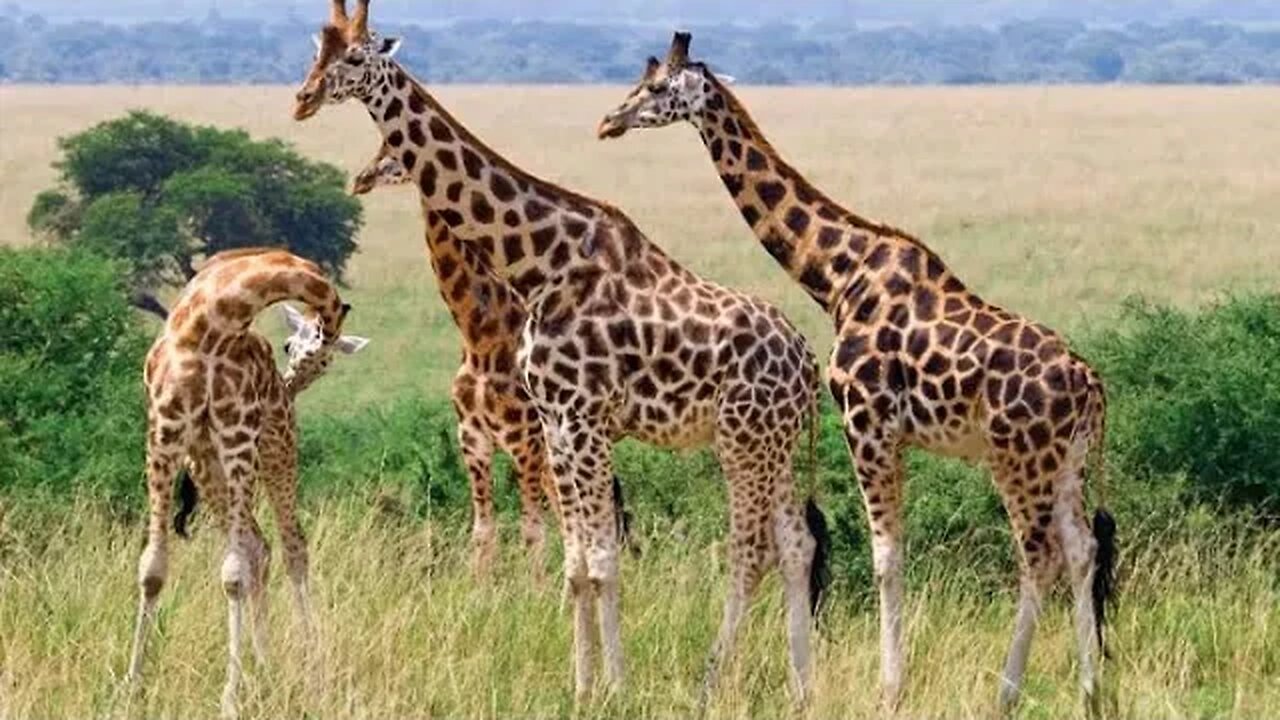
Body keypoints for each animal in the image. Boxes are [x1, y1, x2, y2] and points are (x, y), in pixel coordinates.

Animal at [129, 248, 368, 717]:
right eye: (288, 345)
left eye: (325, 360)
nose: (288, 386)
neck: (214, 323)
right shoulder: (165, 433)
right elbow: (152, 569)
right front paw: (129, 688)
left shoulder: (237, 434)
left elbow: (233, 575)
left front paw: (229, 699)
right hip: (207, 466)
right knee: (259, 546)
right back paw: (266, 669)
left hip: (274, 452)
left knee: (292, 548)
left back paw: (311, 672)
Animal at [290, 2, 829, 702]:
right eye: (316, 51)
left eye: (355, 58)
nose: (302, 99)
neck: (540, 265)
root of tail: (807, 362)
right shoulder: (555, 424)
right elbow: (576, 561)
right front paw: (584, 682)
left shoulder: (581, 421)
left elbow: (599, 558)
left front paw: (614, 686)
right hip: (774, 443)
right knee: (795, 544)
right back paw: (801, 687)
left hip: (744, 438)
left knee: (751, 548)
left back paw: (713, 680)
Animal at [599, 32, 1121, 712]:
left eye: (658, 87)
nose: (610, 120)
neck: (835, 275)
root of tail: (1091, 386)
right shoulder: (890, 434)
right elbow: (891, 552)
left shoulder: (866, 423)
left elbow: (885, 556)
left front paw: (889, 689)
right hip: (1067, 460)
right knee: (1082, 549)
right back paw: (1091, 689)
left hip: (1018, 456)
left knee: (1039, 556)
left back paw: (1005, 693)